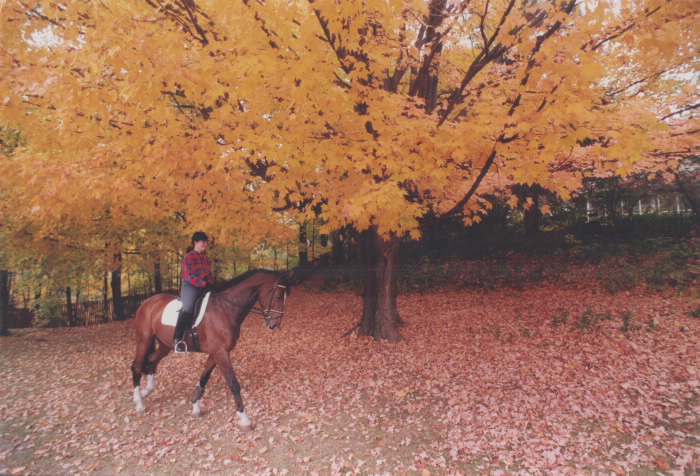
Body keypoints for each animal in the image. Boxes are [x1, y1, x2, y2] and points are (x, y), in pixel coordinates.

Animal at [130, 270, 292, 430]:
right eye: (278, 296)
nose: (275, 325)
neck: (226, 309)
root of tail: (147, 302)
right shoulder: (220, 353)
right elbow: (233, 383)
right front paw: (244, 418)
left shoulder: (216, 353)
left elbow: (204, 377)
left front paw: (195, 406)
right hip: (143, 340)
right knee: (137, 366)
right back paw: (139, 403)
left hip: (165, 345)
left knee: (151, 361)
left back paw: (147, 390)